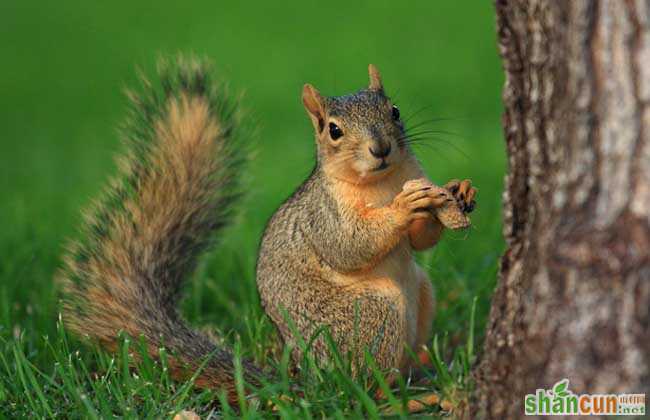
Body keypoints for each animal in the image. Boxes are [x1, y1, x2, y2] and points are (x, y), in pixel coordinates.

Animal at [58, 55, 474, 404]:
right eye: (334, 131)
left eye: (395, 111)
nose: (381, 148)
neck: (383, 182)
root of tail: (312, 383)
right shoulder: (323, 217)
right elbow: (348, 246)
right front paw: (404, 208)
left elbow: (421, 242)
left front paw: (458, 194)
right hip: (369, 316)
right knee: (363, 388)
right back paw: (401, 397)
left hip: (422, 292)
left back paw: (421, 377)